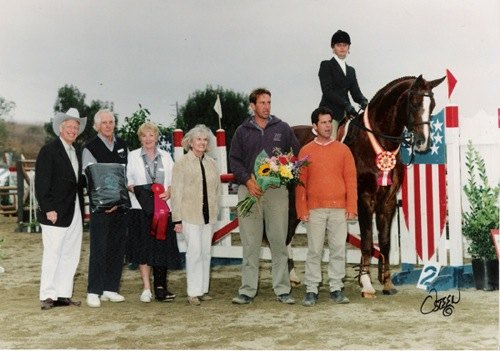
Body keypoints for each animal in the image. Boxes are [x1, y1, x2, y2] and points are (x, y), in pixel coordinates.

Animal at [292, 75, 444, 298]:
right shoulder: (364, 199)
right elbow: (366, 242)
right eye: (415, 103)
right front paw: (366, 283)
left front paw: (387, 283)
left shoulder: (388, 201)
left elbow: (385, 242)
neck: (379, 142)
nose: (423, 143)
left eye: (431, 105)